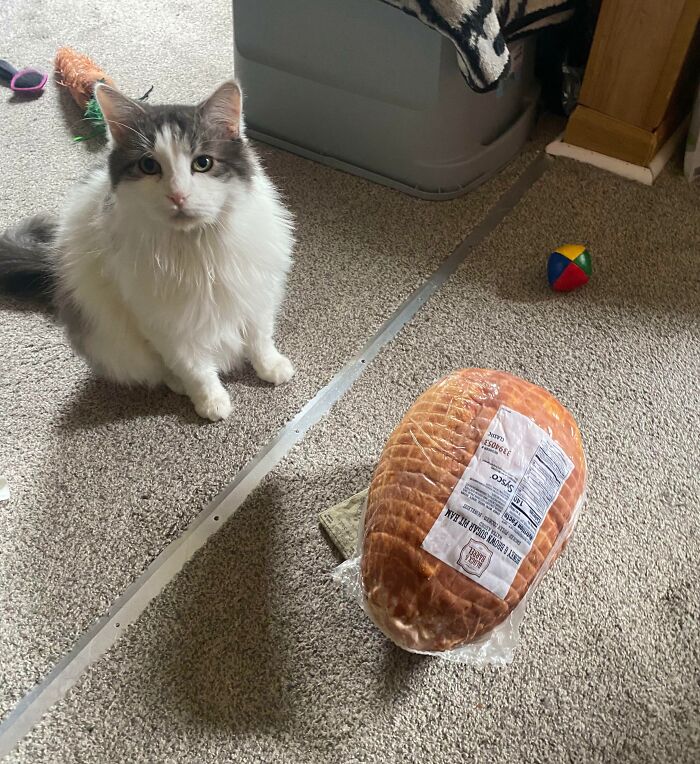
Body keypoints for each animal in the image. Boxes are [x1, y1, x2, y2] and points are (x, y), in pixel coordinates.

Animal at [0, 80, 296, 420]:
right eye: (148, 166)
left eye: (203, 163)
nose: (178, 196)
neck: (197, 248)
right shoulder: (165, 325)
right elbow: (196, 369)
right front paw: (211, 402)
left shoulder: (254, 296)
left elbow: (260, 339)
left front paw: (271, 368)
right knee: (160, 369)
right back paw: (178, 385)